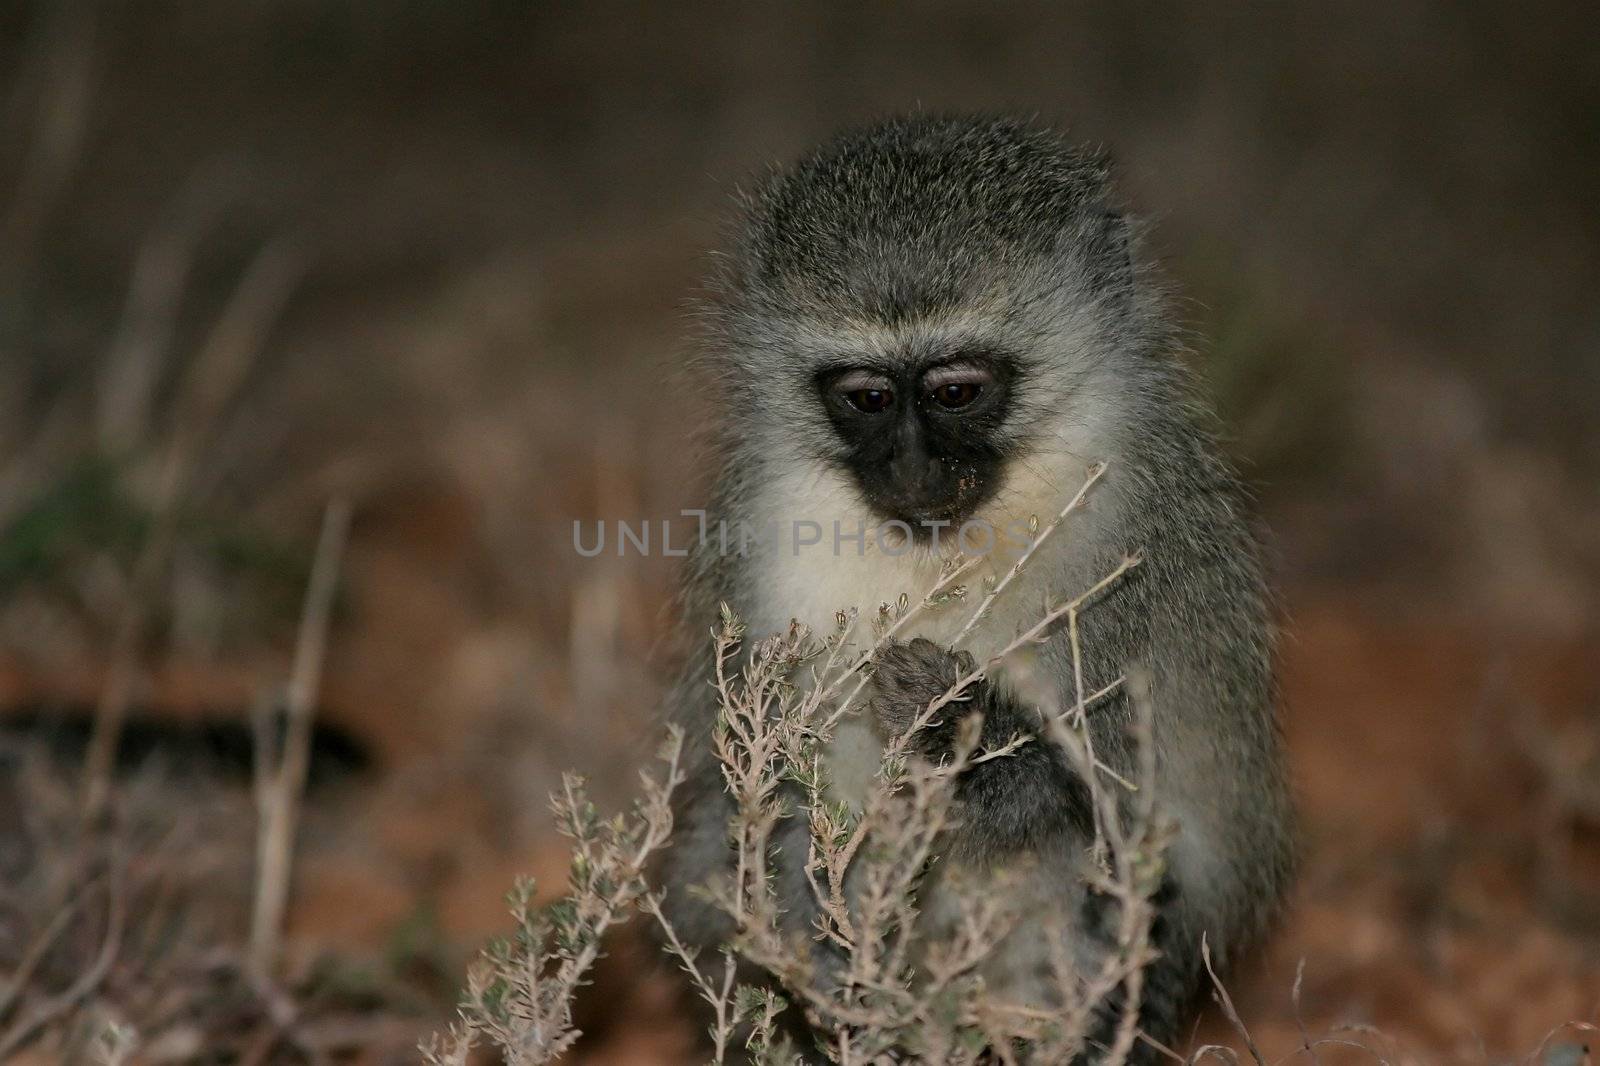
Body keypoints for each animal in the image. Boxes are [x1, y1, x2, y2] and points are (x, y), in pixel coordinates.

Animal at [656, 112, 1292, 1056]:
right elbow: (762, 802)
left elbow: (1121, 805)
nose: (914, 470)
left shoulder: (1131, 550)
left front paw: (955, 714)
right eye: (869, 398)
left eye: (956, 392)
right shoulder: (763, 540)